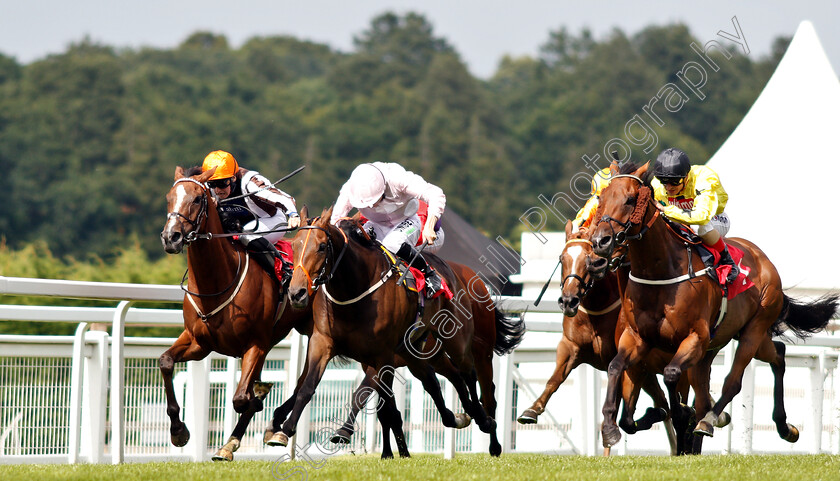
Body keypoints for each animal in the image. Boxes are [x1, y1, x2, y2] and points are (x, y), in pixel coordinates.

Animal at [158, 166, 308, 462]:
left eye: (197, 199)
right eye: (169, 198)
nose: (171, 237)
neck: (216, 282)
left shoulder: (255, 344)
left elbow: (241, 398)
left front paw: (258, 401)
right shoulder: (199, 343)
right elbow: (166, 362)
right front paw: (178, 430)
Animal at [272, 206, 502, 454]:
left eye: (322, 246)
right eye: (295, 245)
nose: (296, 293)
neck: (354, 290)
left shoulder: (382, 356)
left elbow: (376, 403)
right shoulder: (323, 342)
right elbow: (307, 387)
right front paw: (284, 430)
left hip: (459, 341)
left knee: (470, 376)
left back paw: (485, 422)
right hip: (415, 352)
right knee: (441, 379)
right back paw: (458, 417)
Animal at [588, 160, 836, 446]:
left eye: (630, 199)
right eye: (602, 198)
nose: (599, 244)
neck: (659, 273)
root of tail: (764, 260)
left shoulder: (695, 337)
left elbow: (672, 375)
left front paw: (681, 413)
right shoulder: (637, 338)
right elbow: (616, 369)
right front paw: (610, 426)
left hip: (753, 329)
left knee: (733, 382)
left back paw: (710, 419)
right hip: (728, 339)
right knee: (778, 354)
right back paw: (786, 427)